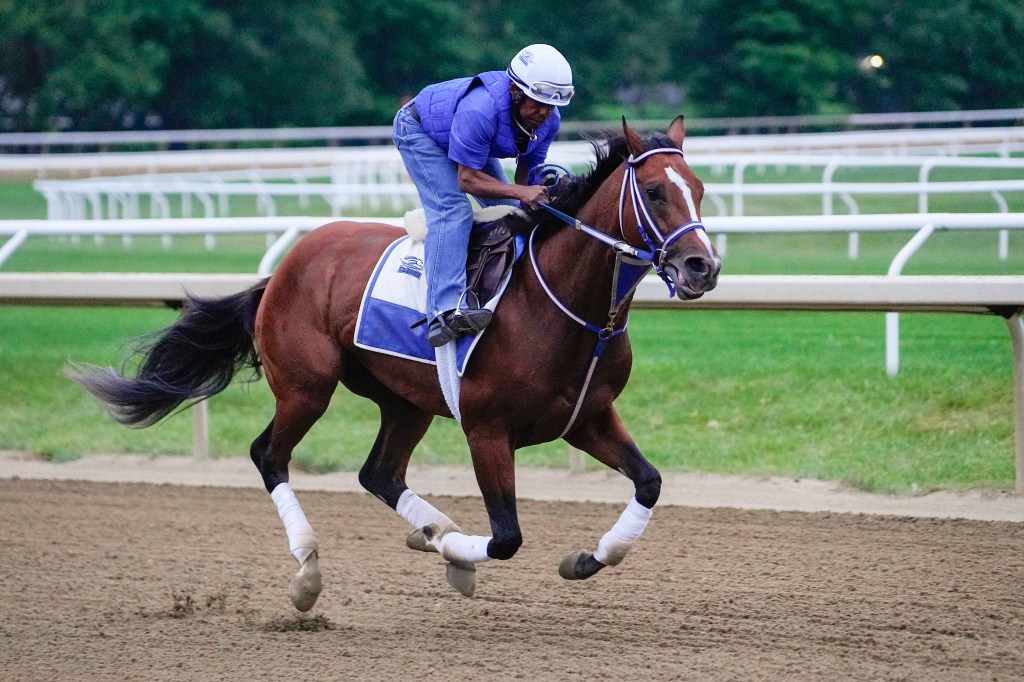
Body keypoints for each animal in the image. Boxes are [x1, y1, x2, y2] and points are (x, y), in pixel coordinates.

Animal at [70, 114, 720, 606]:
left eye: (698, 188)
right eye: (655, 191)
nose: (702, 267)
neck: (562, 304)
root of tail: (282, 269)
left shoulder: (585, 418)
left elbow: (650, 482)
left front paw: (586, 557)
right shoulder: (487, 429)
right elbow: (506, 537)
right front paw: (454, 550)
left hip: (407, 400)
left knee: (378, 473)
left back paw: (432, 532)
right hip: (307, 387)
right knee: (269, 455)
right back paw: (311, 571)